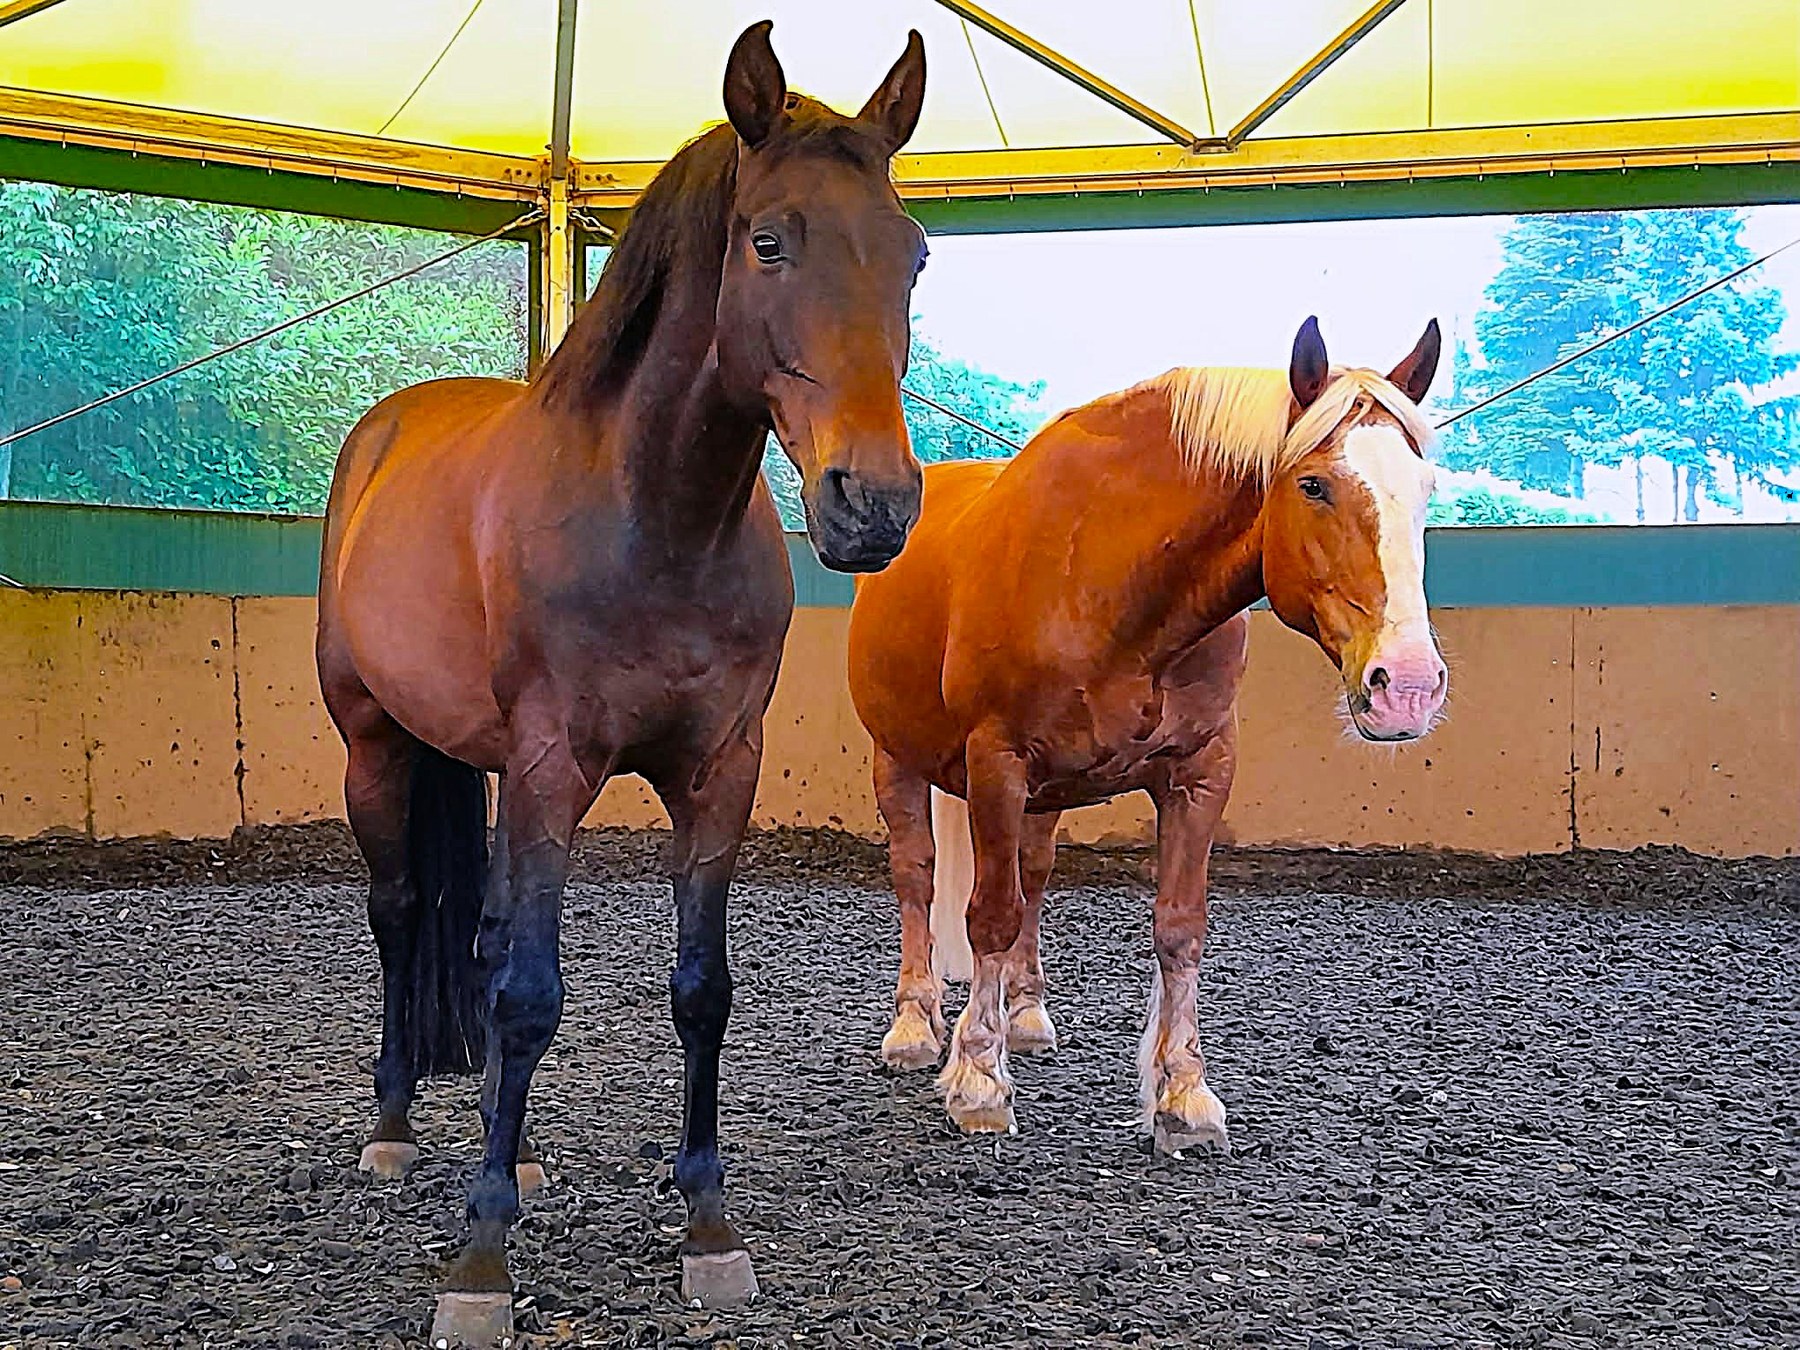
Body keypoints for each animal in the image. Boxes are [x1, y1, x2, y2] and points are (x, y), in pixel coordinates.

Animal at [315, 21, 929, 1339]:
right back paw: (393, 1127)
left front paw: (706, 1224)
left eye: (914, 254)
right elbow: (531, 995)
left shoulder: (717, 772)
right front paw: (481, 1259)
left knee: (483, 937)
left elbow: (698, 990)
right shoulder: (556, 764)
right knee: (401, 916)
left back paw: (517, 1148)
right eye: (769, 240)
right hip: (375, 745)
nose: (875, 504)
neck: (655, 521)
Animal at [846, 318, 1447, 1154]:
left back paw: (1026, 1015)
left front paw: (1184, 1094)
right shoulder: (996, 765)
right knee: (918, 876)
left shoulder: (1200, 772)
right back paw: (916, 1026)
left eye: (1424, 489)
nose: (1409, 685)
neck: (1114, 582)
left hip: (1043, 799)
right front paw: (977, 1080)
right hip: (897, 760)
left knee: (1034, 877)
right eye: (1313, 486)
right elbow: (988, 915)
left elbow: (1178, 928)